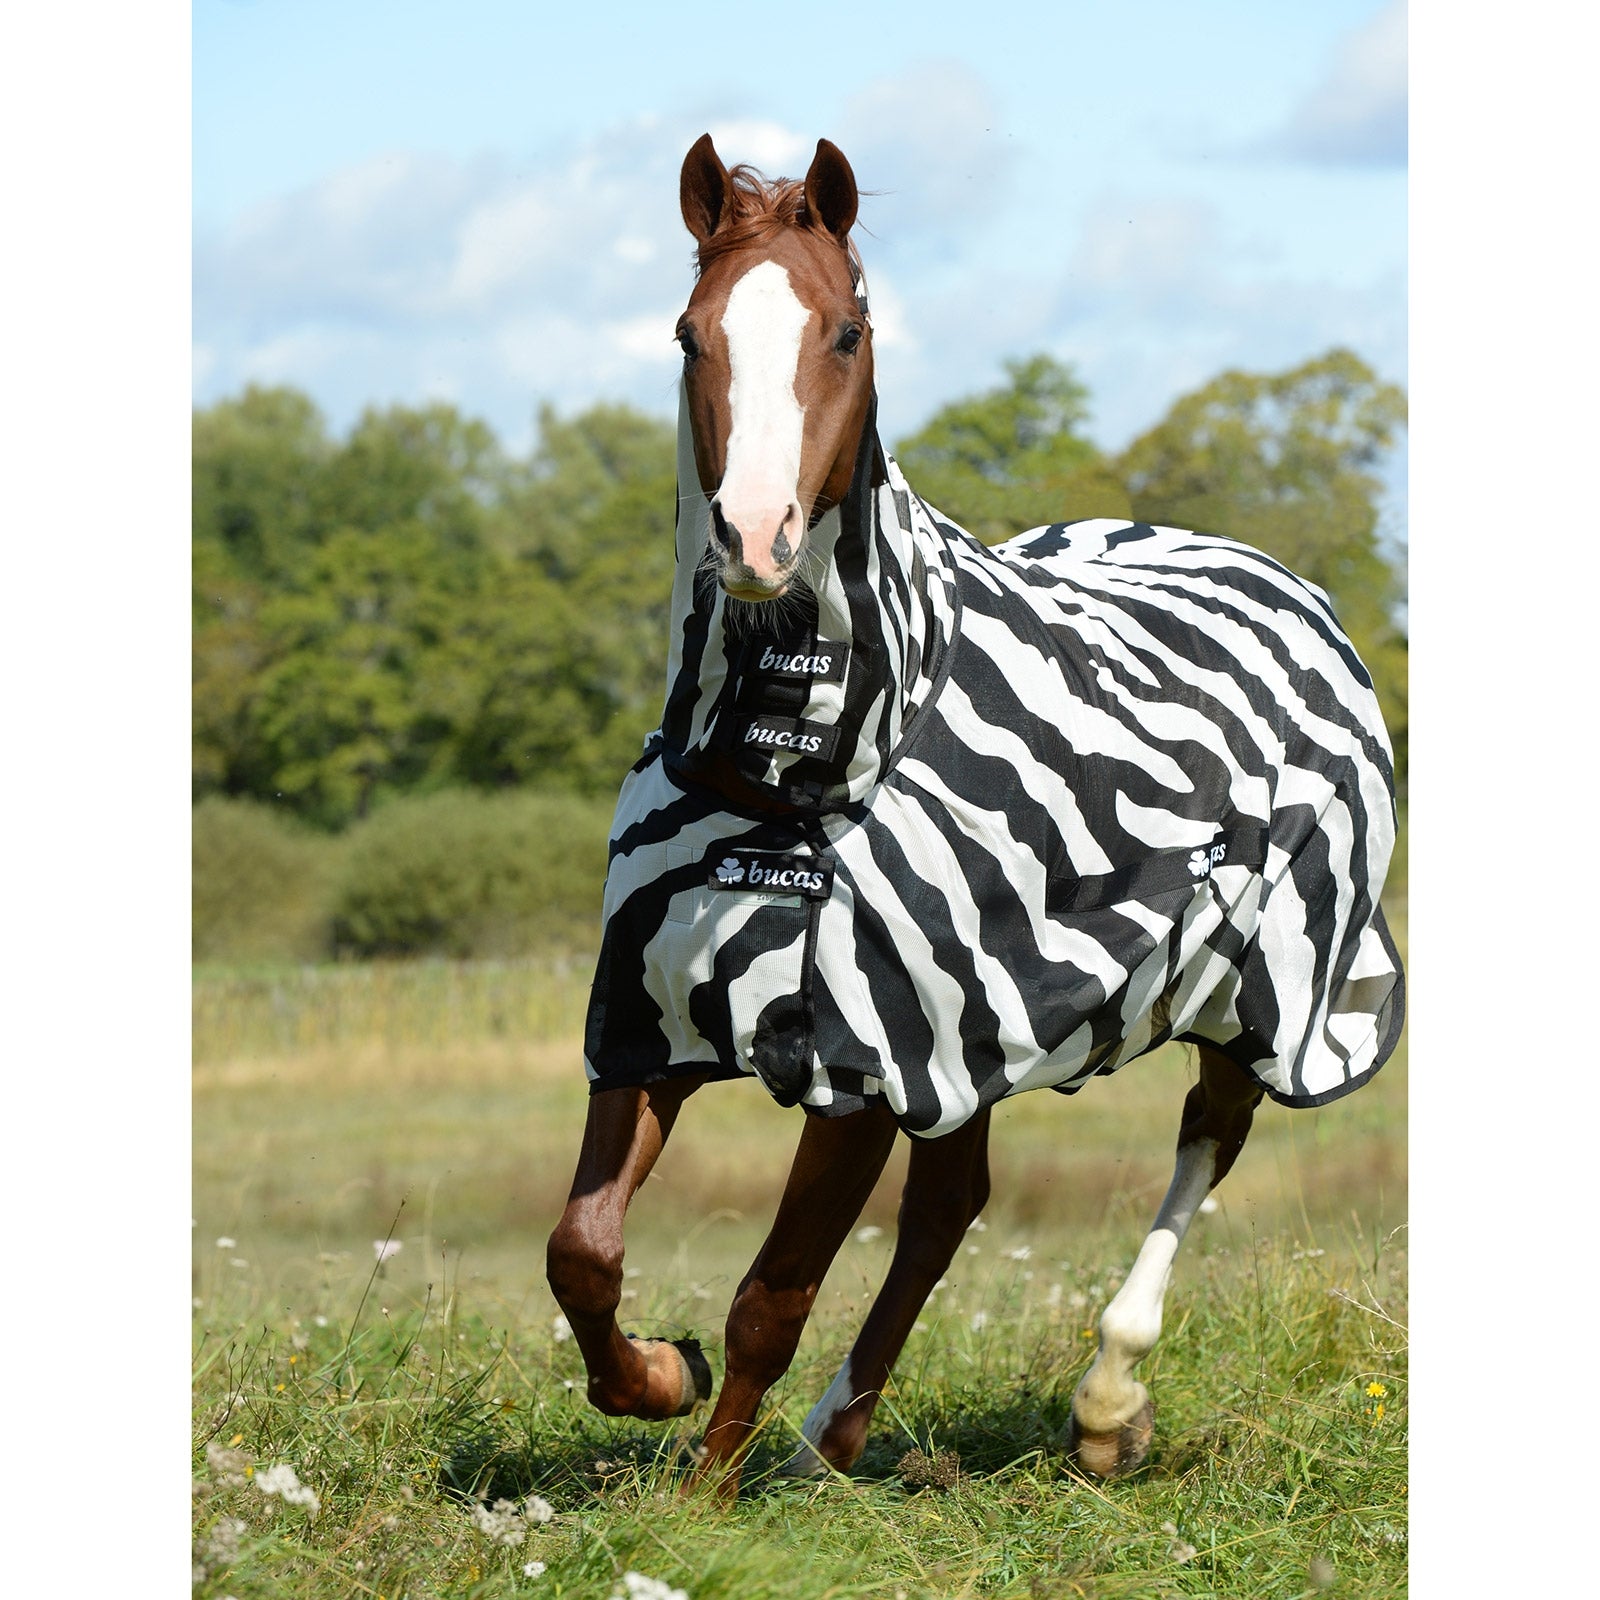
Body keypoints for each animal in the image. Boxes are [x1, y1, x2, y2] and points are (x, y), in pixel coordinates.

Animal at [545, 134, 1404, 1495]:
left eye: (847, 333)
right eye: (689, 335)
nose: (753, 539)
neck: (779, 781)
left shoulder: (856, 1064)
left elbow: (769, 1297)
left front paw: (704, 1496)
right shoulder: (649, 1024)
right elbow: (581, 1252)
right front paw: (657, 1378)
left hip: (1260, 992)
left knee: (1204, 1142)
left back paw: (1106, 1403)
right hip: (974, 1036)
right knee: (952, 1203)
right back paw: (835, 1437)